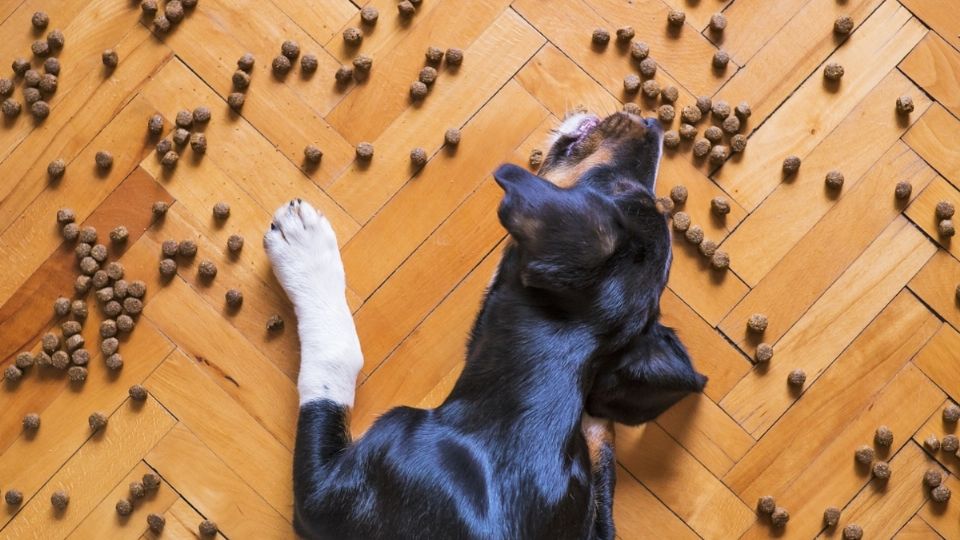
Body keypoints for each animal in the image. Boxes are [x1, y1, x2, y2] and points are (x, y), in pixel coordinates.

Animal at [266, 112, 708, 536]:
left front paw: (304, 248)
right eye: (634, 192)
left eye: (616, 189)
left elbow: (335, 363)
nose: (653, 125)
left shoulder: (326, 498)